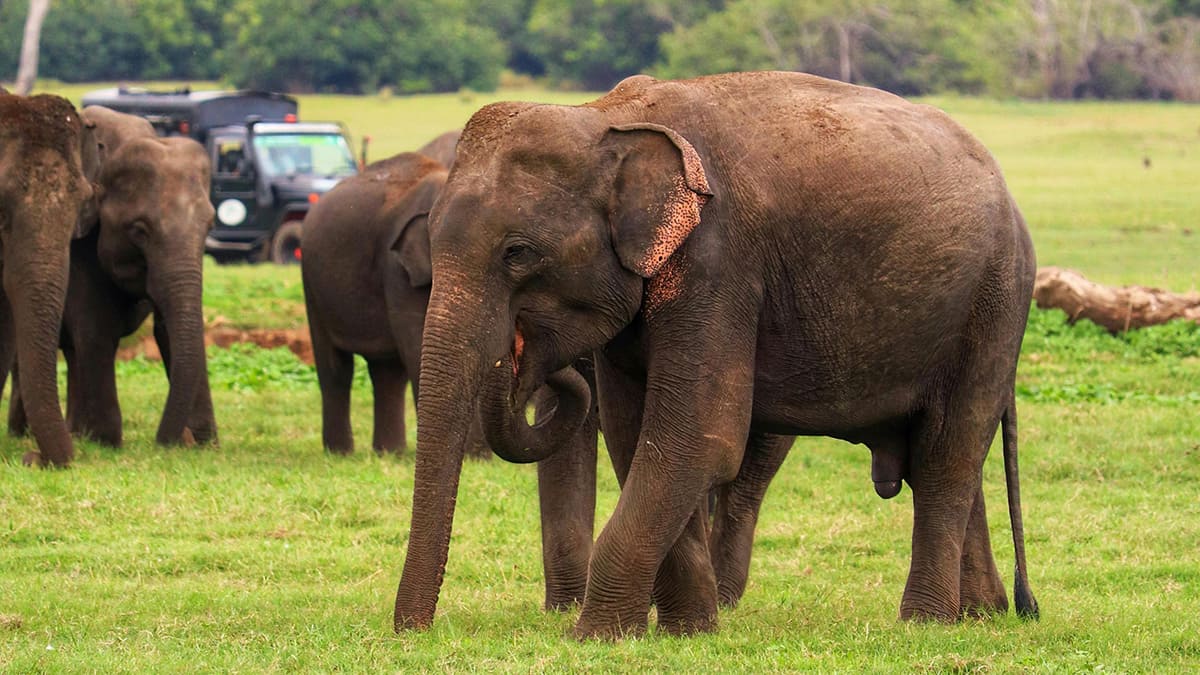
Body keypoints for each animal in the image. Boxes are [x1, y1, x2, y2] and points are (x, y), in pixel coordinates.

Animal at [9, 105, 218, 447]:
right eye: (139, 230)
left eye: (210, 226)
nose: (168, 442)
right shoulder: (81, 244)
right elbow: (96, 327)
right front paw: (106, 441)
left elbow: (168, 328)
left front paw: (204, 444)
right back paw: (24, 434)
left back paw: (73, 432)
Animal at [393, 71, 1039, 639]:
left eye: (518, 253)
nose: (412, 634)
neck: (606, 118)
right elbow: (635, 438)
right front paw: (688, 631)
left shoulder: (718, 261)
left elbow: (697, 439)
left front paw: (597, 637)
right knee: (946, 455)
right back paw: (979, 614)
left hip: (995, 303)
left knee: (949, 452)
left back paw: (925, 623)